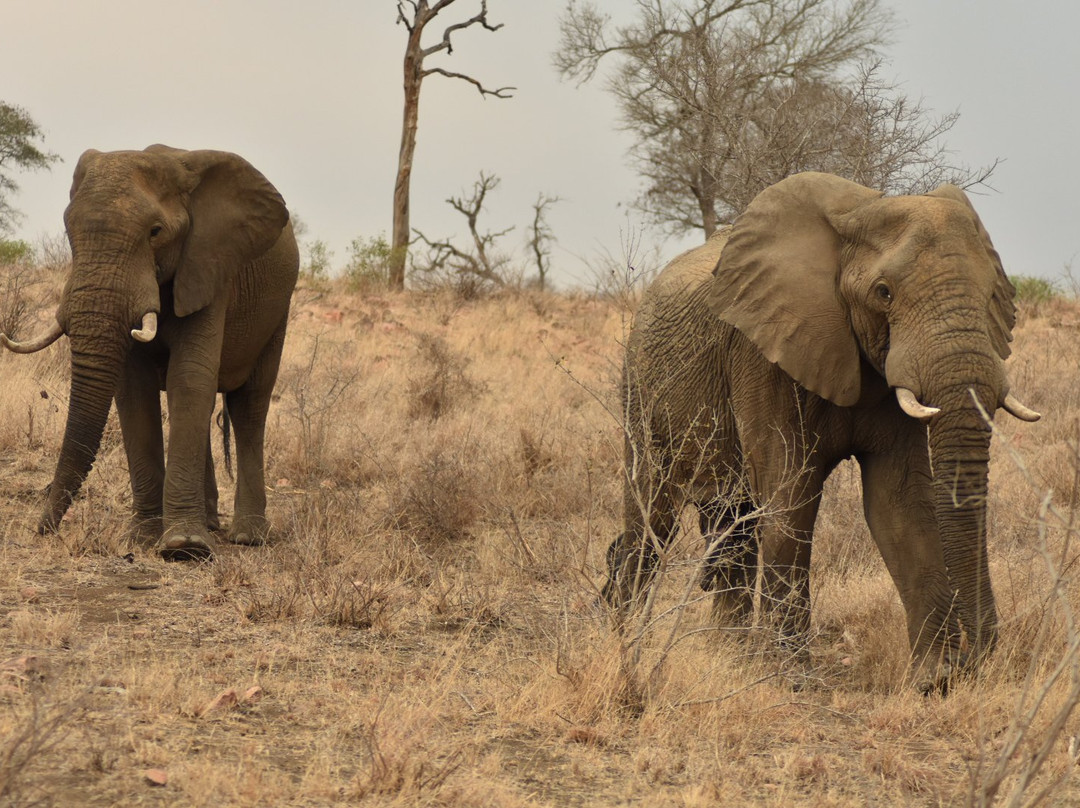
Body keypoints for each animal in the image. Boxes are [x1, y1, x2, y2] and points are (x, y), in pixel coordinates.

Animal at [1, 144, 300, 561]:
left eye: (155, 232)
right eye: (68, 231)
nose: (43, 530)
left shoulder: (208, 265)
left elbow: (189, 378)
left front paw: (183, 548)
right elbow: (135, 390)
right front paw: (143, 539)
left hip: (277, 312)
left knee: (249, 407)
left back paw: (248, 536)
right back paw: (210, 523)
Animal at [604, 170, 1041, 687]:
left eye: (993, 294)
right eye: (884, 292)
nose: (978, 656)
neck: (859, 211)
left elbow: (899, 505)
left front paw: (933, 679)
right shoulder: (761, 353)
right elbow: (790, 495)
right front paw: (790, 680)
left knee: (731, 525)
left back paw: (728, 654)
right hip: (640, 387)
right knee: (652, 517)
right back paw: (627, 637)